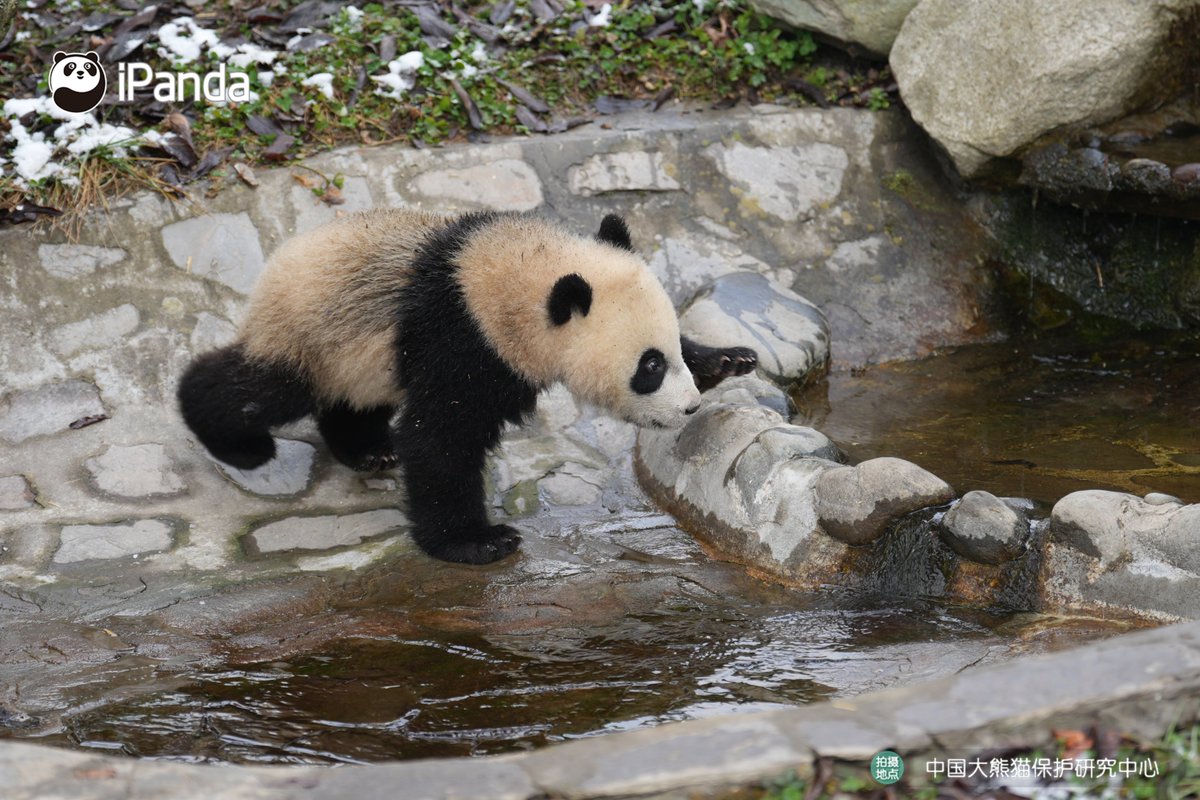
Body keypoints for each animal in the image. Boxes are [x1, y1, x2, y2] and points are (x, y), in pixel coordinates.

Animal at [178, 210, 757, 564]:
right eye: (649, 367)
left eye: (670, 352)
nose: (689, 409)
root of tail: (274, 268)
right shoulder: (462, 341)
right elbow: (439, 438)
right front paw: (478, 541)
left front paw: (729, 359)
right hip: (312, 334)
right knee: (261, 388)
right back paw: (234, 441)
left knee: (350, 401)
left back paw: (367, 450)